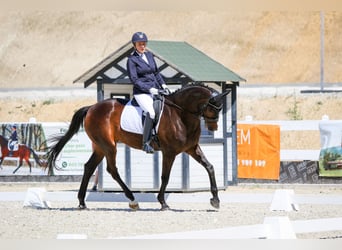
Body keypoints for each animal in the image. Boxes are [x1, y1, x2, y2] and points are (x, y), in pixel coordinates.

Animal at [46, 83, 230, 210]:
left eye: (221, 109)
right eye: (214, 108)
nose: (214, 128)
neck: (180, 114)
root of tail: (91, 107)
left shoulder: (191, 148)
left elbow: (210, 167)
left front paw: (215, 200)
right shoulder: (169, 152)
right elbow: (165, 177)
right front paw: (162, 202)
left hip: (100, 147)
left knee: (89, 167)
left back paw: (82, 202)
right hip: (109, 146)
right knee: (112, 170)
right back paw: (132, 200)